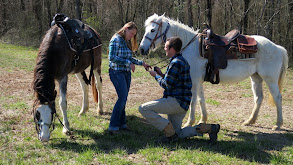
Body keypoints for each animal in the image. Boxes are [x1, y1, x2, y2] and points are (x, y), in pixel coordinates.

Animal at [139, 13, 288, 130]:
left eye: (152, 30)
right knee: (258, 98)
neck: (191, 46)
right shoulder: (198, 80)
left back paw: (278, 124)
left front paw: (189, 122)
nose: (141, 49)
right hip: (256, 78)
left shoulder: (194, 80)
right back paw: (250, 121)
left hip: (270, 79)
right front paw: (202, 119)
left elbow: (193, 101)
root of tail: (278, 47)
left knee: (277, 97)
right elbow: (201, 99)